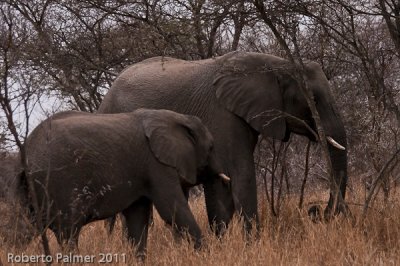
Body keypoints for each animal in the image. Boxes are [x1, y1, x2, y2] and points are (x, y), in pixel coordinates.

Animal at [18, 108, 228, 256]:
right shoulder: (157, 165)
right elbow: (173, 210)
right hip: (57, 183)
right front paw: (207, 255)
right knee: (68, 232)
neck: (178, 117)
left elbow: (138, 217)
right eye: (211, 147)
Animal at [98, 51, 348, 234]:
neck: (276, 63)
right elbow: (240, 175)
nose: (315, 211)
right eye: (313, 99)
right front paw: (251, 244)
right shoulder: (221, 116)